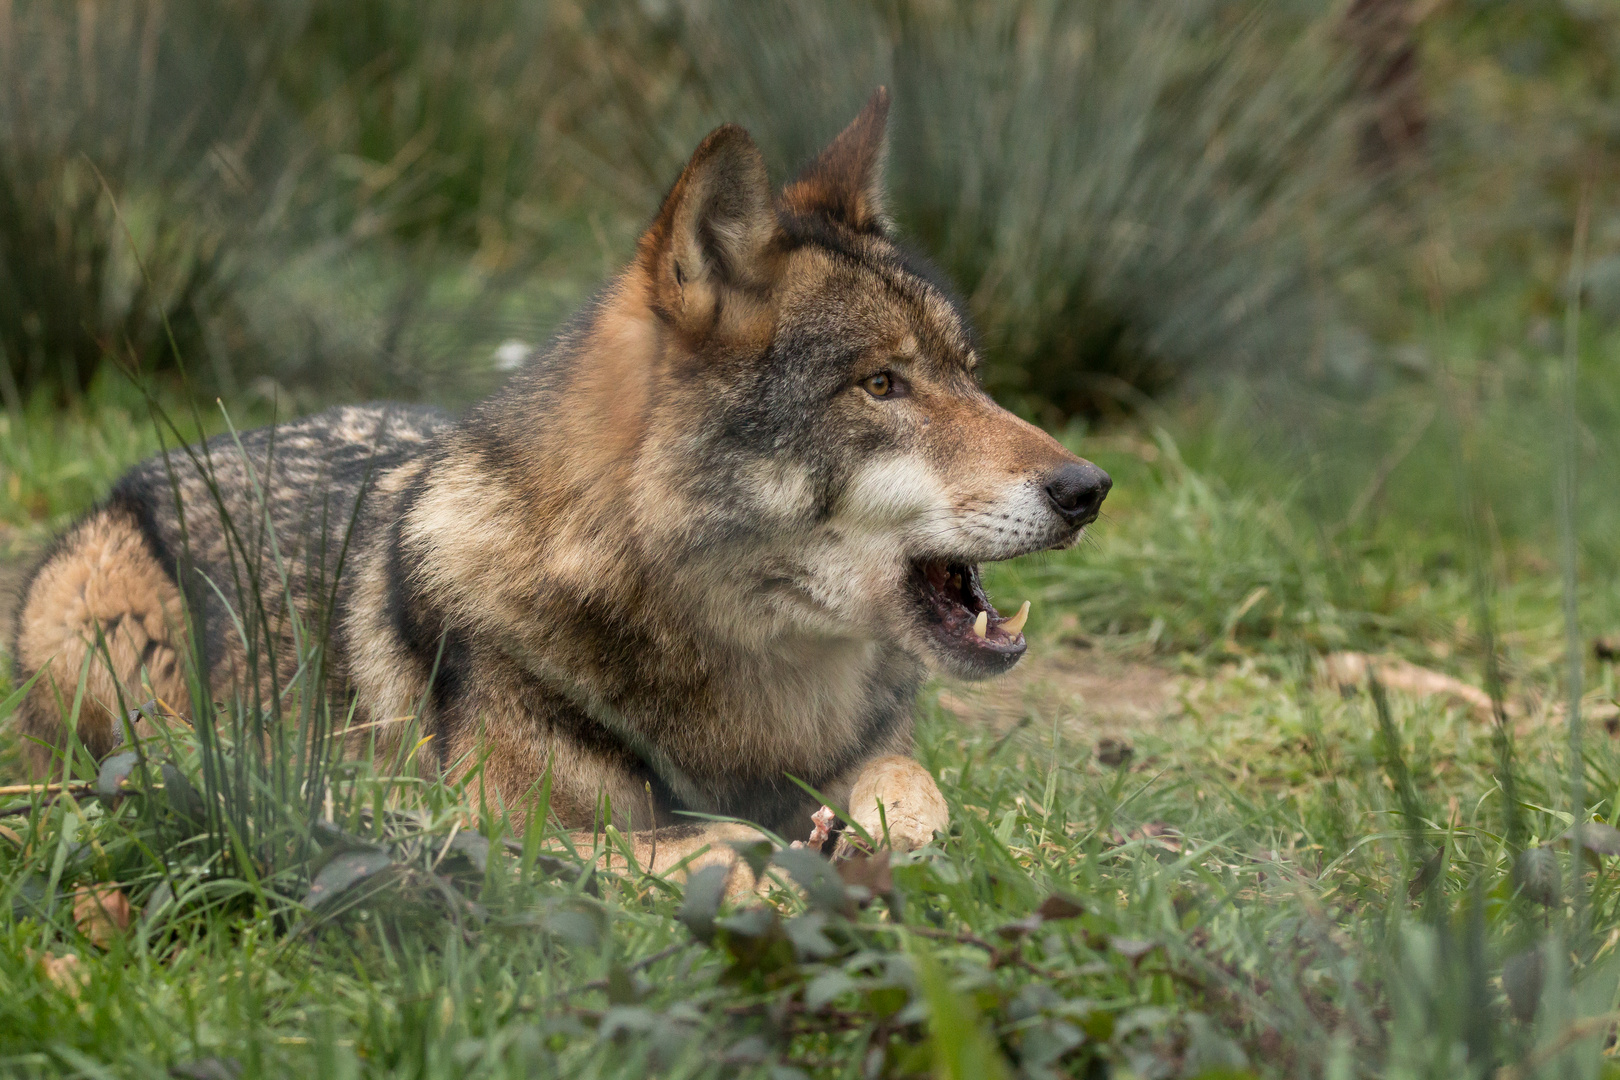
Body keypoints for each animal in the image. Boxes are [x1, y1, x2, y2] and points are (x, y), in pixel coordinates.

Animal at [12, 90, 1108, 867]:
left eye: (969, 373)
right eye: (882, 384)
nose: (1089, 489)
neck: (749, 691)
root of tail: (150, 470)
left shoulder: (875, 753)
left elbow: (916, 795)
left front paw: (879, 832)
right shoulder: (490, 819)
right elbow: (711, 842)